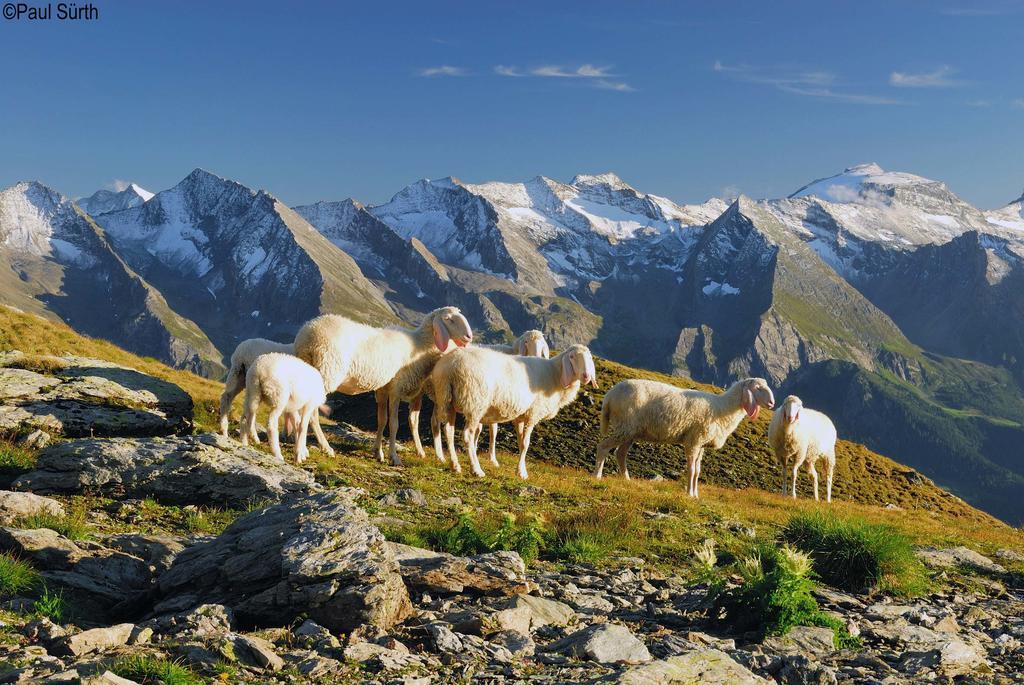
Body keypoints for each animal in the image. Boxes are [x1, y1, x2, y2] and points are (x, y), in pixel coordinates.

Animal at [294, 309, 473, 464]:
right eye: (448, 319)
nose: (469, 336)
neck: (420, 344)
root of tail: (307, 334)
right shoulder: (396, 388)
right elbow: (393, 424)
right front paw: (394, 457)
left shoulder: (382, 389)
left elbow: (382, 420)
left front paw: (378, 453)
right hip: (326, 371)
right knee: (310, 412)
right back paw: (316, 450)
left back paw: (304, 448)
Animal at [598, 378, 770, 497]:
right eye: (757, 388)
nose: (772, 403)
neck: (723, 408)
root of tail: (609, 396)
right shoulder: (693, 441)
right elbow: (692, 470)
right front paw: (689, 494)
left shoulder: (701, 444)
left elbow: (698, 471)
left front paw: (696, 495)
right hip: (625, 427)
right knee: (603, 446)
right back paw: (597, 476)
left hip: (629, 431)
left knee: (620, 453)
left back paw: (626, 479)